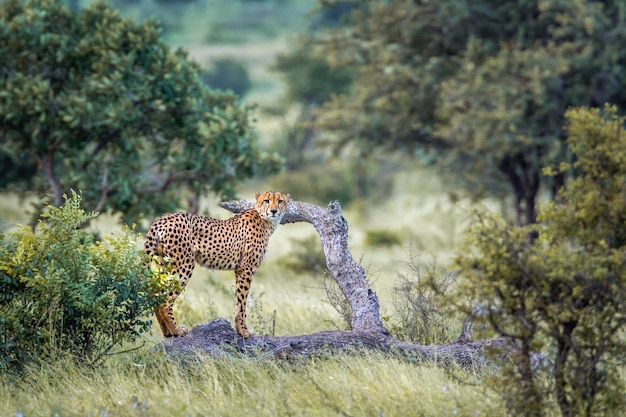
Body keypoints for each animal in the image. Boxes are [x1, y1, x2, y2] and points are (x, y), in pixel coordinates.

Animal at [144, 190, 288, 336]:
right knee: (165, 301)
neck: (265, 220)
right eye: (266, 201)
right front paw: (243, 331)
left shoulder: (240, 268)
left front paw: (240, 329)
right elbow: (242, 302)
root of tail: (162, 219)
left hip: (164, 265)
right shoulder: (246, 267)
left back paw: (167, 332)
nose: (274, 211)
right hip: (184, 265)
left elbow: (238, 300)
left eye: (280, 201)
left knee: (157, 297)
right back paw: (177, 330)